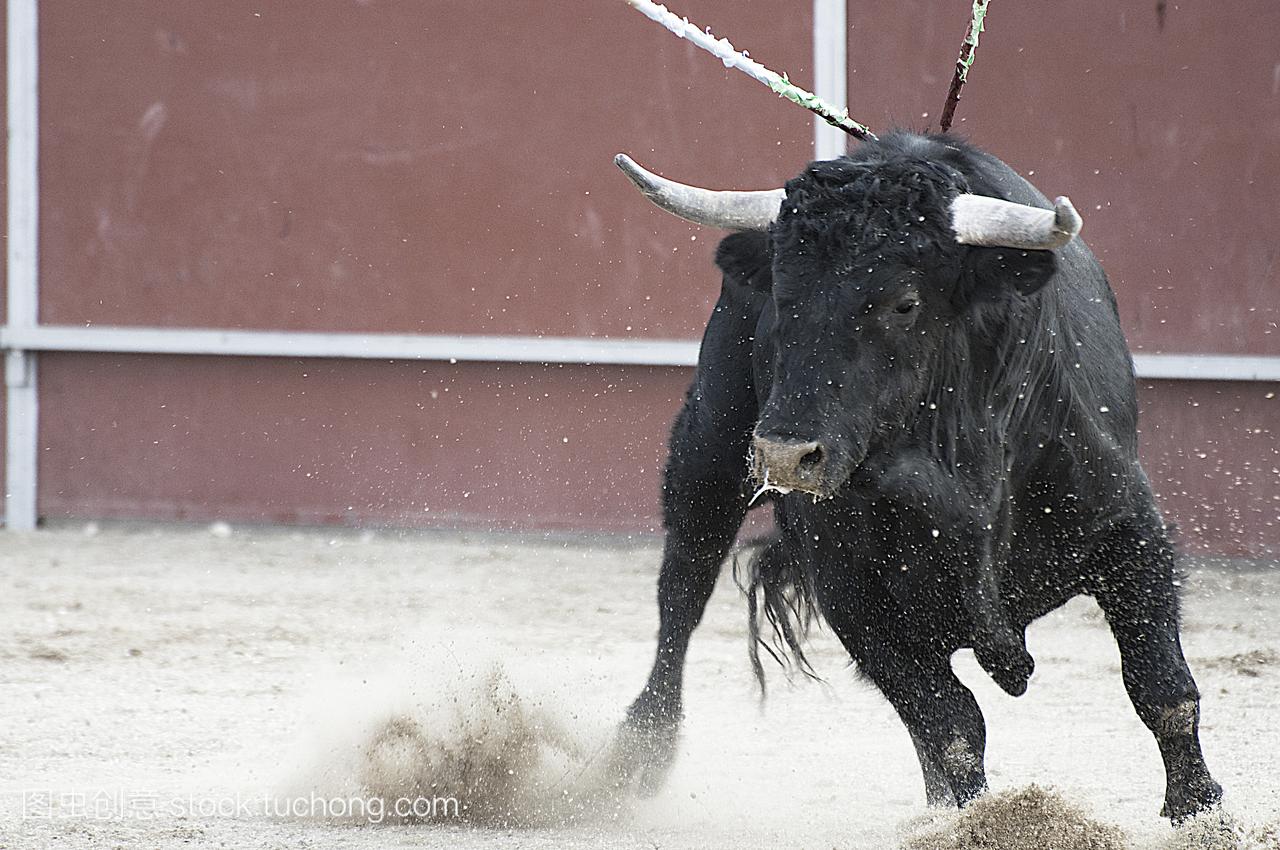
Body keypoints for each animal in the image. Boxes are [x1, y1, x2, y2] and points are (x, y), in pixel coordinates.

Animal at [609, 134, 1218, 824]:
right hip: (707, 448)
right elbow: (948, 721)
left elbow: (1161, 688)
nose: (785, 455)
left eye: (904, 303)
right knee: (684, 586)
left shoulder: (1129, 529)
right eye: (780, 300)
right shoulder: (851, 591)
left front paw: (1198, 810)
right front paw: (972, 821)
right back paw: (641, 748)